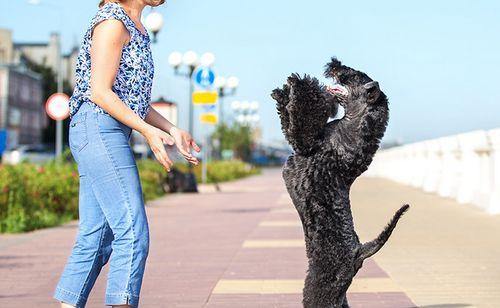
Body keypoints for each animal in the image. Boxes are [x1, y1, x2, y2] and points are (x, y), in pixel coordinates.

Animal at [272, 58, 408, 308]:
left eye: (355, 75)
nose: (335, 64)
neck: (352, 127)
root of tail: (359, 251)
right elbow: (288, 119)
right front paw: (282, 93)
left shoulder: (305, 143)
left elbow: (301, 118)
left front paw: (297, 83)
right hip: (339, 292)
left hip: (322, 285)